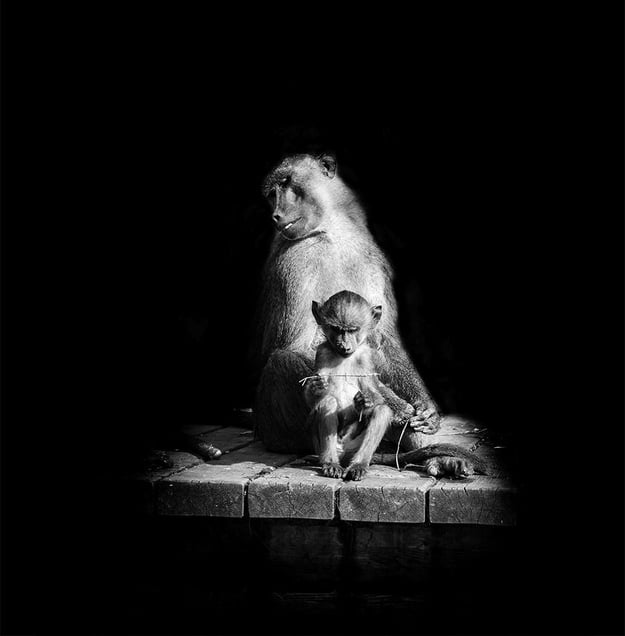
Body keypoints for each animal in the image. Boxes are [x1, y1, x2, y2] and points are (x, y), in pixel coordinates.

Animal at [303, 290, 481, 480]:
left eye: (353, 330)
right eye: (336, 329)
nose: (344, 345)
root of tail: (344, 454)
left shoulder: (366, 356)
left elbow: (374, 388)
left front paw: (366, 402)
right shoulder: (322, 352)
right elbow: (313, 392)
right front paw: (315, 386)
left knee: (382, 410)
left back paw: (359, 465)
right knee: (328, 403)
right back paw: (330, 463)